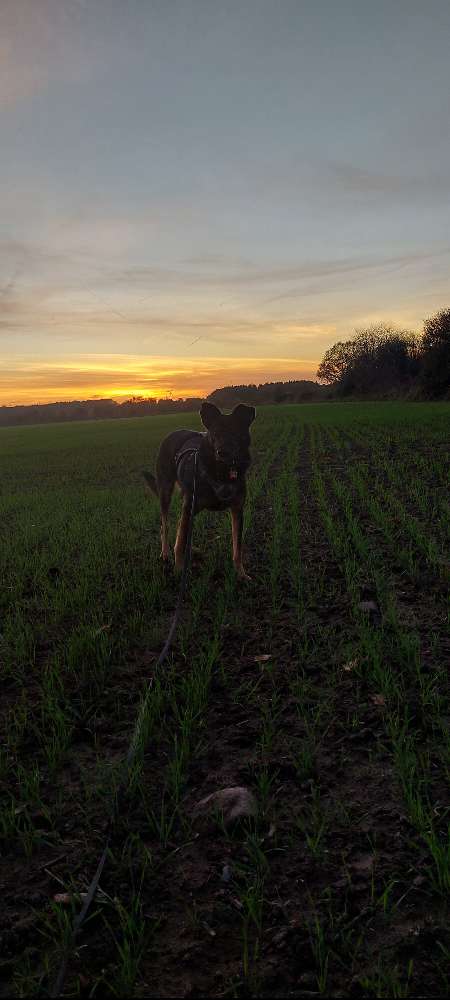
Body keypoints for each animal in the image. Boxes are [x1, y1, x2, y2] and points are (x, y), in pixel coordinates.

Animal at [144, 402, 256, 584]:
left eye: (235, 432)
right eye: (215, 433)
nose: (222, 452)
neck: (221, 472)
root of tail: (173, 433)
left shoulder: (238, 510)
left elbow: (237, 547)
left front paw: (241, 573)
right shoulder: (189, 508)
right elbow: (180, 542)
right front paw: (179, 570)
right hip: (166, 492)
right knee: (165, 526)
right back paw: (166, 553)